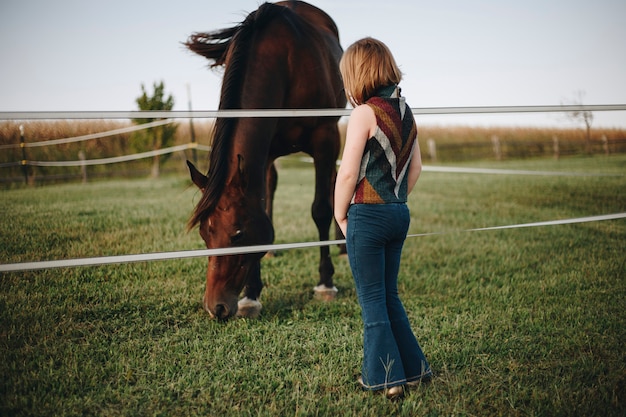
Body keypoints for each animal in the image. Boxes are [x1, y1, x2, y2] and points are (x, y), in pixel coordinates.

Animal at [184, 1, 346, 318]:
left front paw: (326, 283)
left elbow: (320, 209)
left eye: (237, 235)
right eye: (205, 235)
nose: (215, 307)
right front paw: (251, 295)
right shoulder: (263, 152)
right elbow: (263, 206)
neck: (286, 60)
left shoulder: (325, 137)